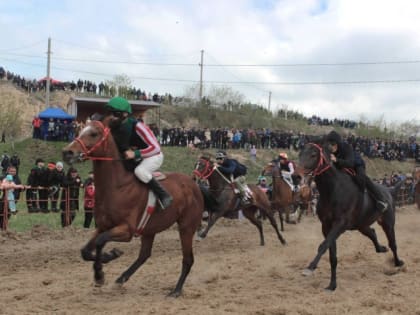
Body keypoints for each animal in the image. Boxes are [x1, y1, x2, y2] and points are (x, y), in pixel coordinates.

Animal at [62, 117, 205, 298]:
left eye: (93, 133)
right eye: (79, 131)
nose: (67, 152)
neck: (116, 186)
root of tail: (194, 184)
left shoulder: (127, 230)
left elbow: (101, 241)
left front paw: (100, 272)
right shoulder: (103, 226)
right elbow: (85, 251)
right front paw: (110, 257)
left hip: (186, 226)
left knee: (188, 259)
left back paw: (176, 290)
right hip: (150, 229)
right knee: (144, 255)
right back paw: (121, 279)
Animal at [292, 143, 404, 292]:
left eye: (313, 155)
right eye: (300, 154)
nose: (295, 177)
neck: (333, 190)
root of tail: (389, 191)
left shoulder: (340, 224)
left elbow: (323, 245)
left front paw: (310, 268)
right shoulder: (326, 226)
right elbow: (332, 255)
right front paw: (332, 285)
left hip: (388, 222)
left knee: (393, 243)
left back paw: (397, 263)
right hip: (361, 224)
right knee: (372, 232)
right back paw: (381, 248)